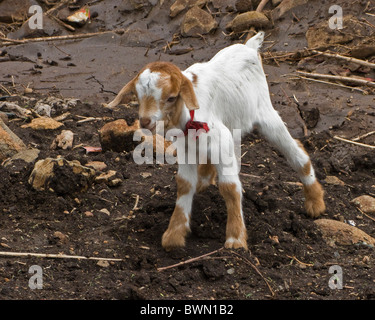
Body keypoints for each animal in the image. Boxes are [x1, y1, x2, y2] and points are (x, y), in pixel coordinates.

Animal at [105, 33, 326, 252]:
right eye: (137, 96)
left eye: (171, 98)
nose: (145, 121)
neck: (188, 117)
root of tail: (249, 46)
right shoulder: (186, 148)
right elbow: (184, 183)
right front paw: (174, 234)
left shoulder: (221, 140)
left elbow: (229, 186)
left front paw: (235, 239)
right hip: (233, 123)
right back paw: (204, 178)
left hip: (265, 113)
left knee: (295, 151)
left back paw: (315, 202)